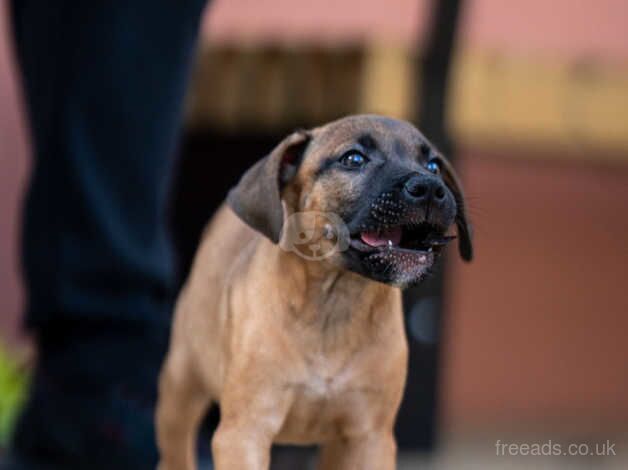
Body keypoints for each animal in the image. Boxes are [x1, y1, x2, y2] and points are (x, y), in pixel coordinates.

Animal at [156, 114, 472, 470]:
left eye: (433, 165)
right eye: (354, 159)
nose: (431, 188)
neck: (335, 301)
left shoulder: (370, 438)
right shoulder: (244, 432)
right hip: (180, 388)